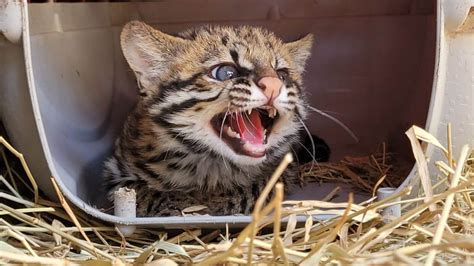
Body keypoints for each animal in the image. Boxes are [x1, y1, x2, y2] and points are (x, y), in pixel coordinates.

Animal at [103, 20, 326, 216]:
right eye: (226, 72)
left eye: (282, 75)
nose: (274, 85)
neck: (209, 163)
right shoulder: (115, 173)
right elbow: (140, 192)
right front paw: (181, 204)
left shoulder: (282, 170)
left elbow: (254, 188)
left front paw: (207, 203)